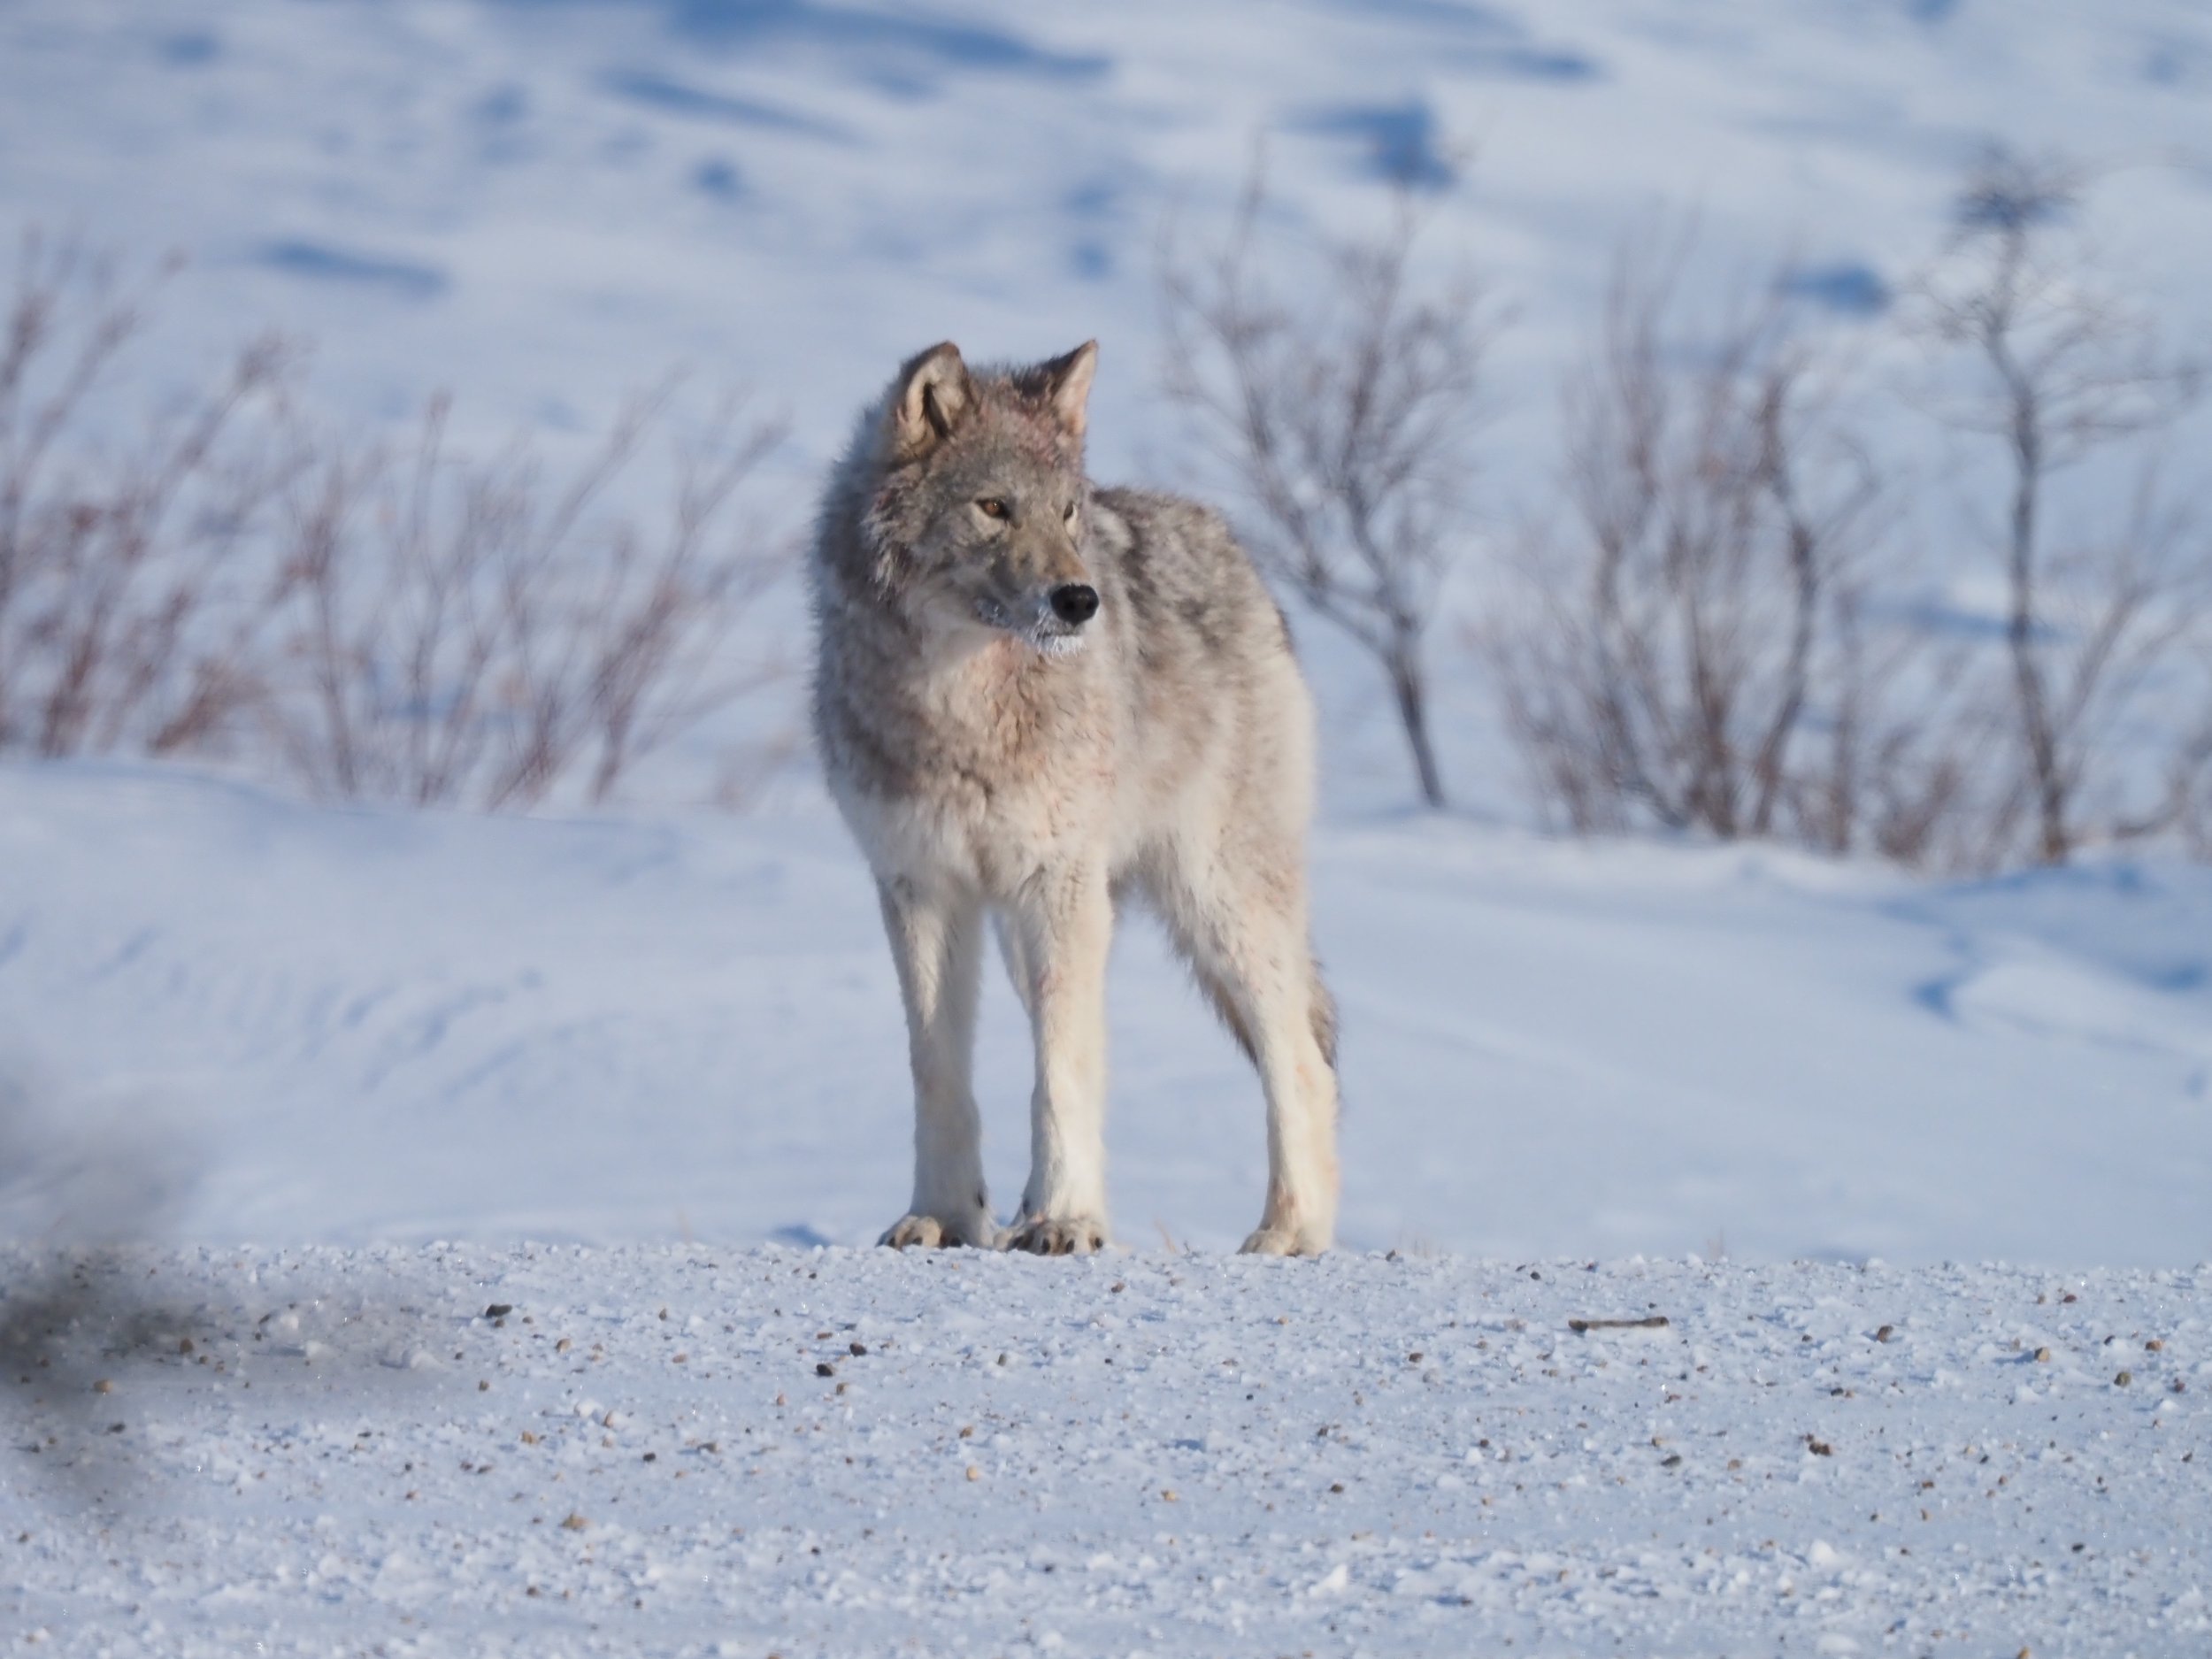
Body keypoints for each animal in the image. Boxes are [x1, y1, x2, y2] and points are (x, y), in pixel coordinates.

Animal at [809, 339, 1340, 1256]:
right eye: (994, 507)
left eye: (1064, 514)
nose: (1080, 600)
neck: (959, 706)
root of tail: (1231, 548)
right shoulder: (920, 887)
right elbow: (939, 1073)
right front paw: (945, 1214)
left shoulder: (1054, 882)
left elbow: (1059, 1073)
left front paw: (1065, 1218)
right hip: (1052, 933)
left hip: (1211, 902)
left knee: (1302, 1058)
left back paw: (1290, 1231)